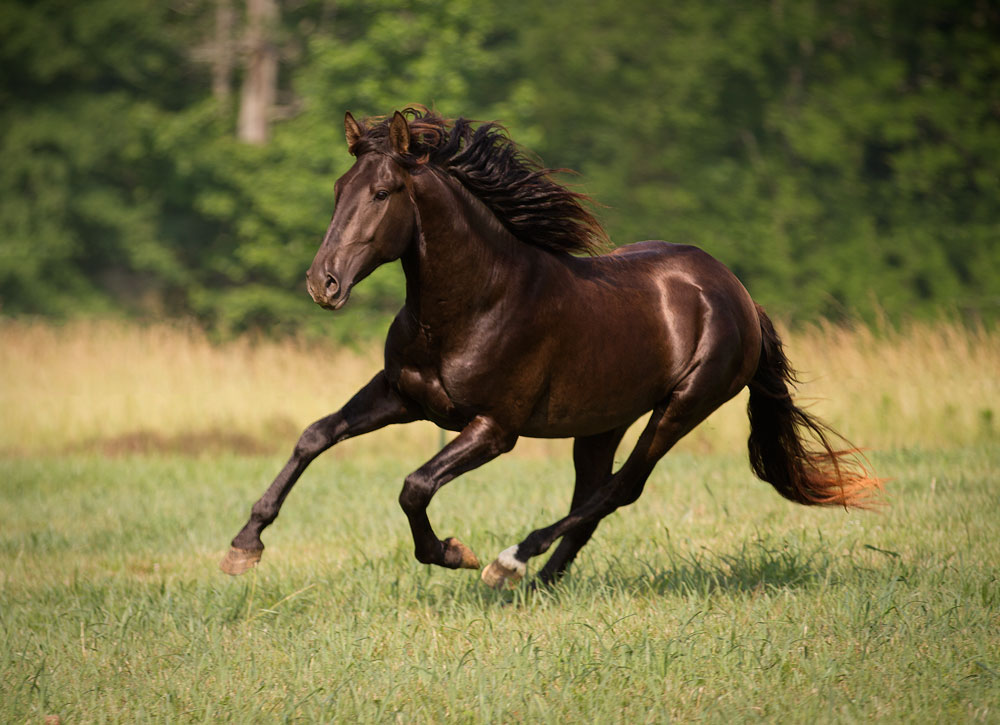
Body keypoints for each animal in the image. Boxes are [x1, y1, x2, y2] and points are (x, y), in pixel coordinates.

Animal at [221, 106, 884, 588]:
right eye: (339, 189)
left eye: (383, 192)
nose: (323, 283)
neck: (475, 302)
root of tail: (738, 293)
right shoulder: (402, 396)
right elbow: (315, 435)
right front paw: (243, 547)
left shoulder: (495, 428)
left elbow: (415, 486)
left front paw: (455, 552)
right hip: (603, 421)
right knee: (594, 497)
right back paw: (541, 583)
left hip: (684, 406)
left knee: (620, 490)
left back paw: (510, 563)